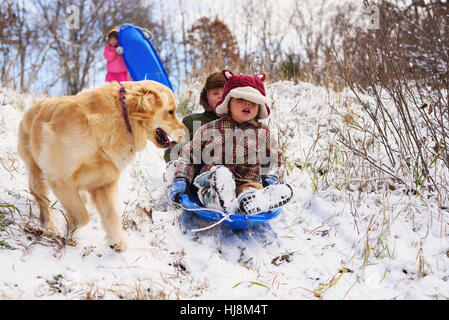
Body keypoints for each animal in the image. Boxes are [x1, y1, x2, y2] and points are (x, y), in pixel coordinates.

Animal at [17, 80, 186, 250]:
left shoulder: (105, 181)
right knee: (43, 201)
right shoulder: (60, 178)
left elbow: (111, 215)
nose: (186, 133)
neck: (121, 118)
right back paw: (49, 226)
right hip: (37, 173)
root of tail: (32, 108)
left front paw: (116, 242)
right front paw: (70, 227)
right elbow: (83, 216)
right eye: (171, 112)